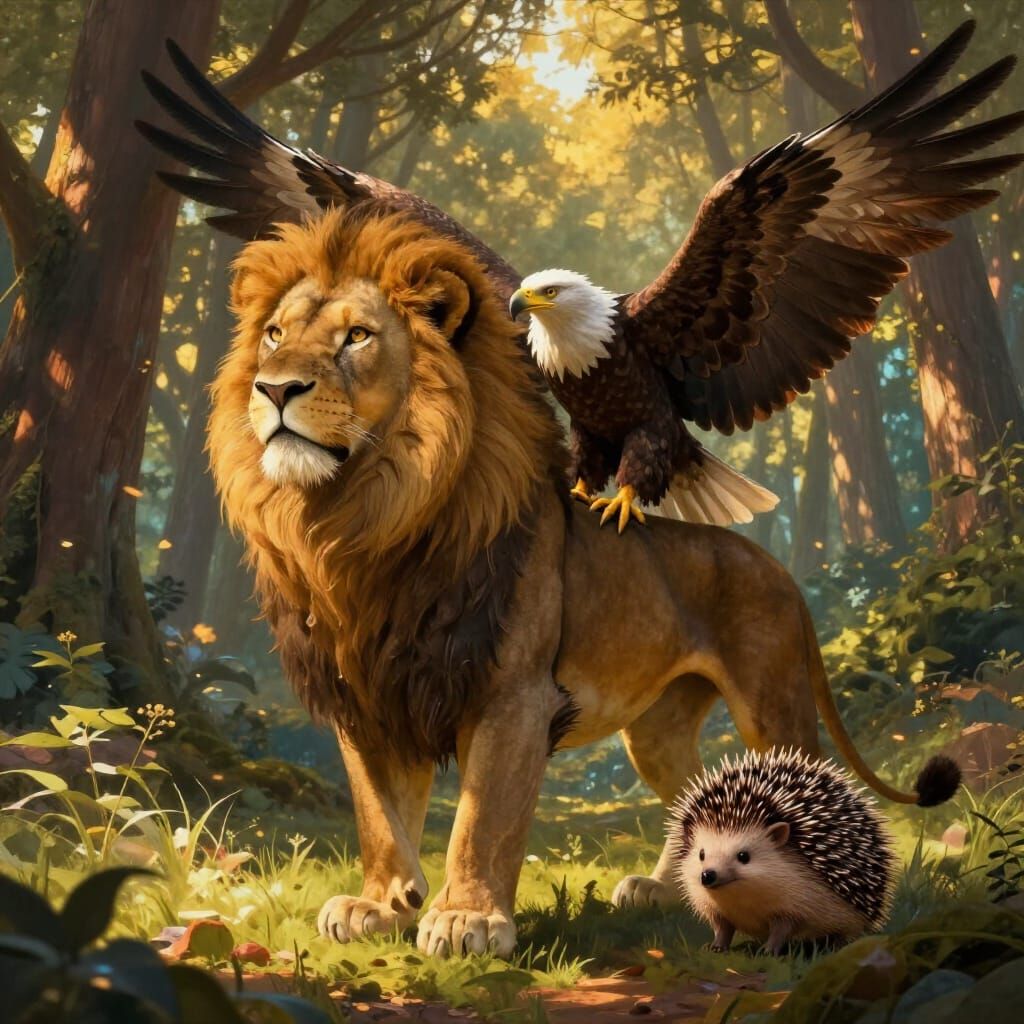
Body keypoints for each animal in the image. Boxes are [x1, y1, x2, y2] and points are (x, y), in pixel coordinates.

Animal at [208, 208, 928, 959]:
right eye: (274, 335)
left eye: (357, 337)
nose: (274, 389)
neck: (359, 524)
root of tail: (779, 567)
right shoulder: (368, 691)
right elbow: (379, 814)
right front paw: (382, 903)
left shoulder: (515, 696)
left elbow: (483, 817)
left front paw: (466, 919)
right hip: (657, 728)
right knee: (695, 794)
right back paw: (670, 890)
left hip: (773, 705)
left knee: (802, 787)